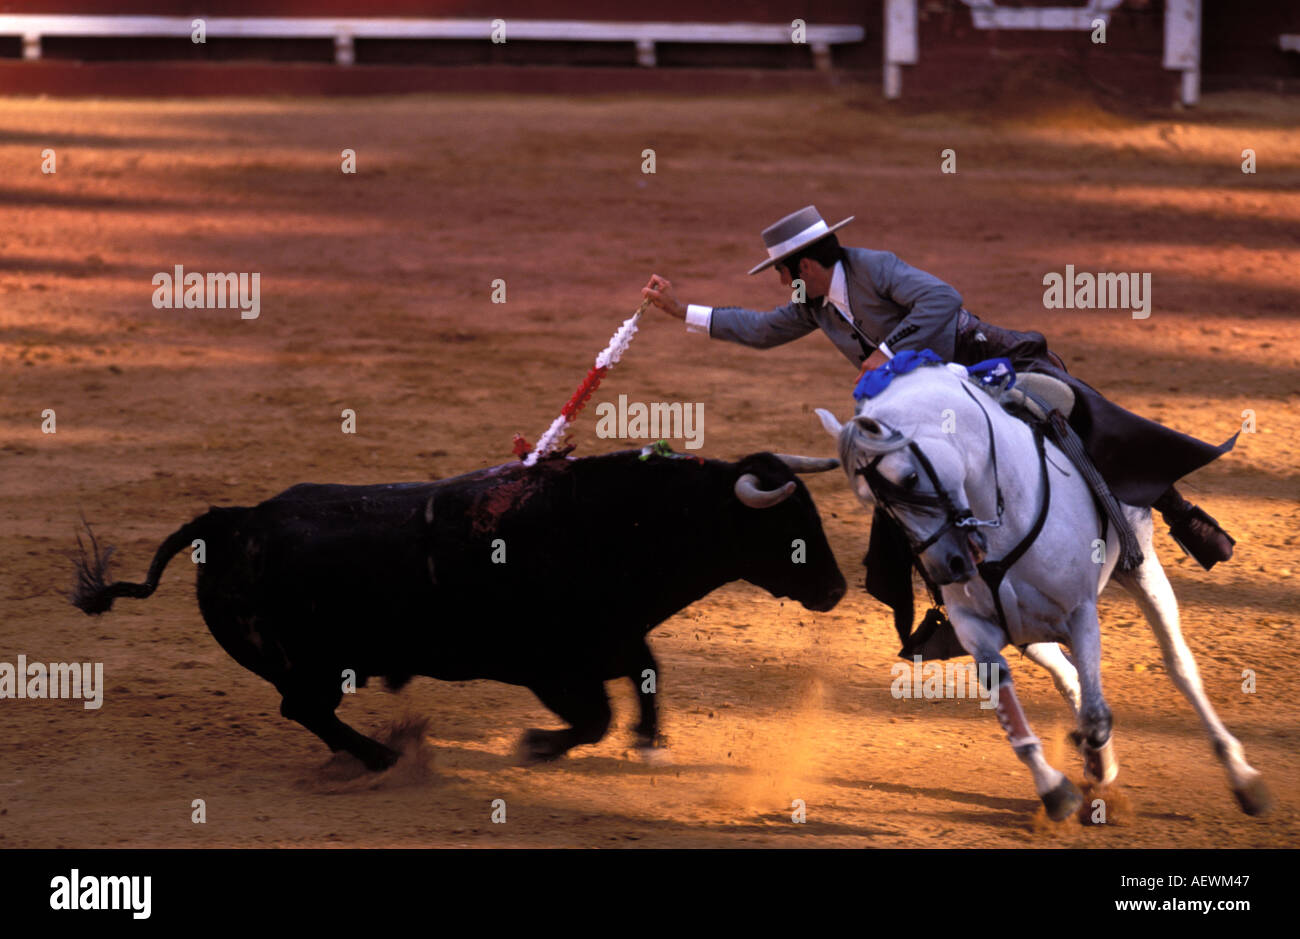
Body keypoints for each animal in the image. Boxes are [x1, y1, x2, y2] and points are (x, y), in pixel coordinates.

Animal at [71, 452, 847, 769]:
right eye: (790, 527)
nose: (837, 589)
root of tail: (230, 521)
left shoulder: (613, 640)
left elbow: (647, 677)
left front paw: (650, 740)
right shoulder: (551, 666)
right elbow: (595, 716)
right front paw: (534, 745)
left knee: (306, 712)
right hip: (313, 667)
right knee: (306, 709)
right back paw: (385, 757)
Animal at [816, 361, 1274, 816]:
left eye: (910, 478)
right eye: (872, 502)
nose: (948, 568)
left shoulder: (1081, 612)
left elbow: (1097, 715)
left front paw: (1094, 762)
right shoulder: (978, 629)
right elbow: (1010, 701)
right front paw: (1058, 788)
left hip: (1141, 570)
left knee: (1178, 665)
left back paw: (1243, 779)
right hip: (1030, 632)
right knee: (1070, 677)